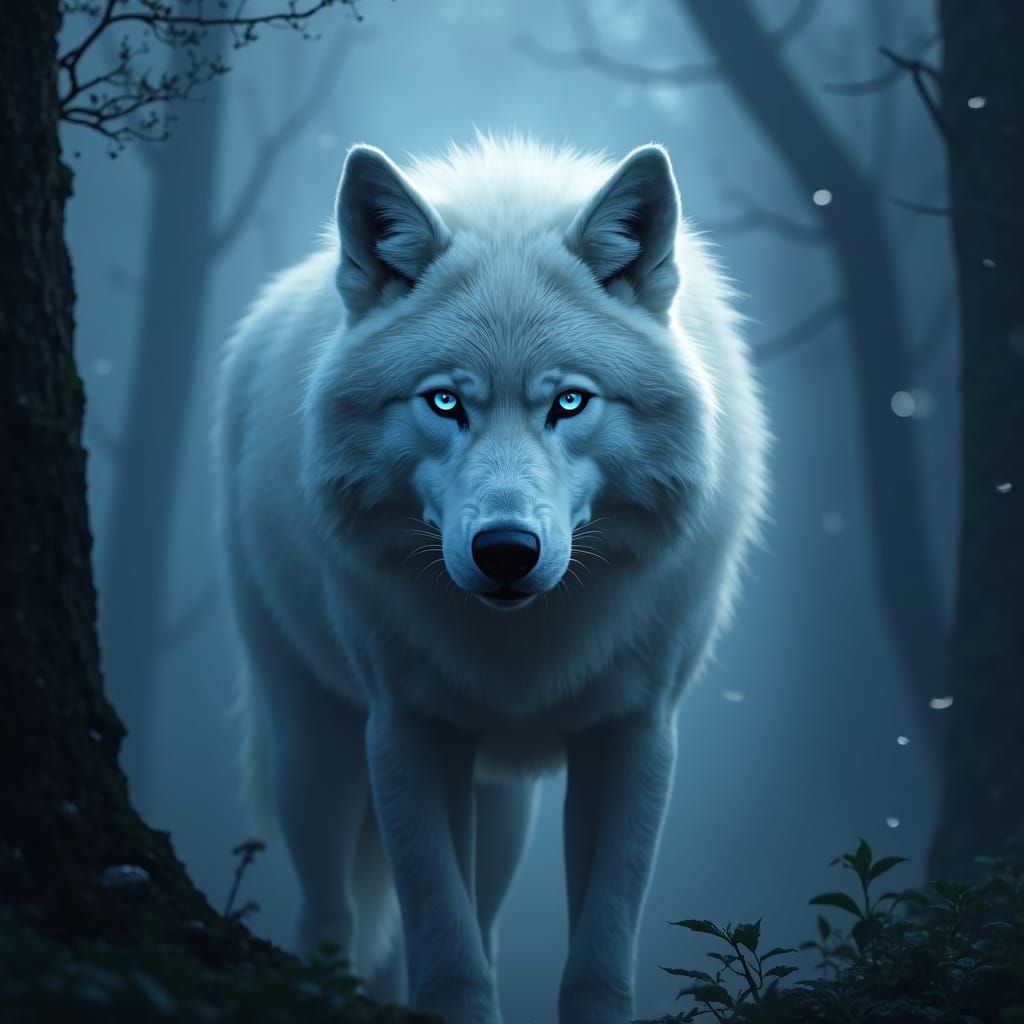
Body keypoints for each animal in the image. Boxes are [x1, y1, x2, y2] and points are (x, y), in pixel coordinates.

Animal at [212, 135, 767, 1024]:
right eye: (445, 402)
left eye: (569, 402)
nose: (506, 550)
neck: (521, 647)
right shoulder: (404, 728)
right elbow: (442, 935)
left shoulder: (636, 731)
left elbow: (599, 947)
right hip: (313, 743)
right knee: (331, 913)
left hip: (500, 799)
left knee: (486, 916)